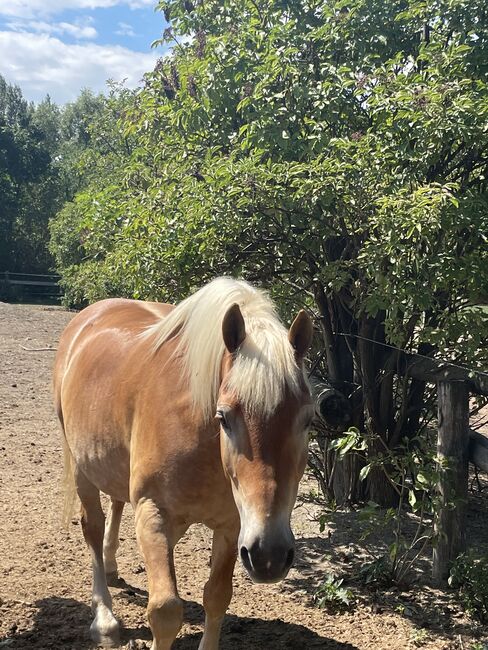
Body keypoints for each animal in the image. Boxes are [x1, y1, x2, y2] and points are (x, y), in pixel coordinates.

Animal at [52, 278, 312, 648]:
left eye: (308, 420)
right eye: (224, 417)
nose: (269, 555)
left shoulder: (233, 524)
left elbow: (217, 596)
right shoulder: (153, 512)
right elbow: (164, 610)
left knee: (116, 503)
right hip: (80, 466)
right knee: (93, 526)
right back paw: (104, 620)